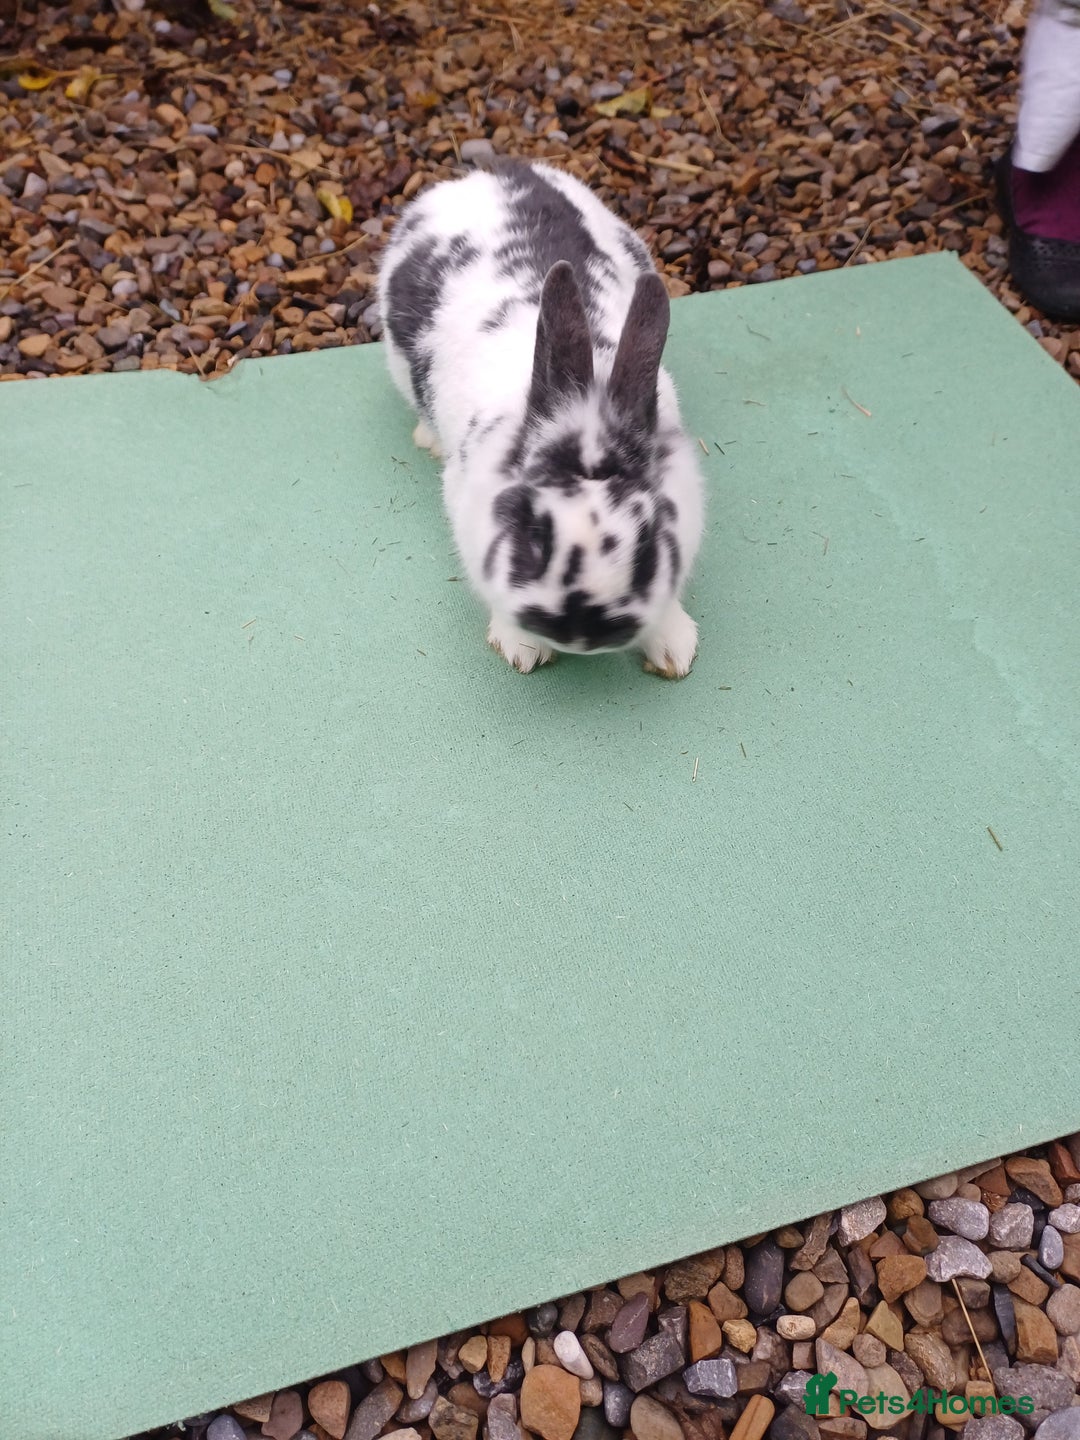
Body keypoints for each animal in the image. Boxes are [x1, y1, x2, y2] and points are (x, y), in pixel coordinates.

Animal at [376, 159, 705, 678]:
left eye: (648, 542)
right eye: (533, 534)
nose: (585, 632)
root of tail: (486, 174)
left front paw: (674, 650)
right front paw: (522, 649)